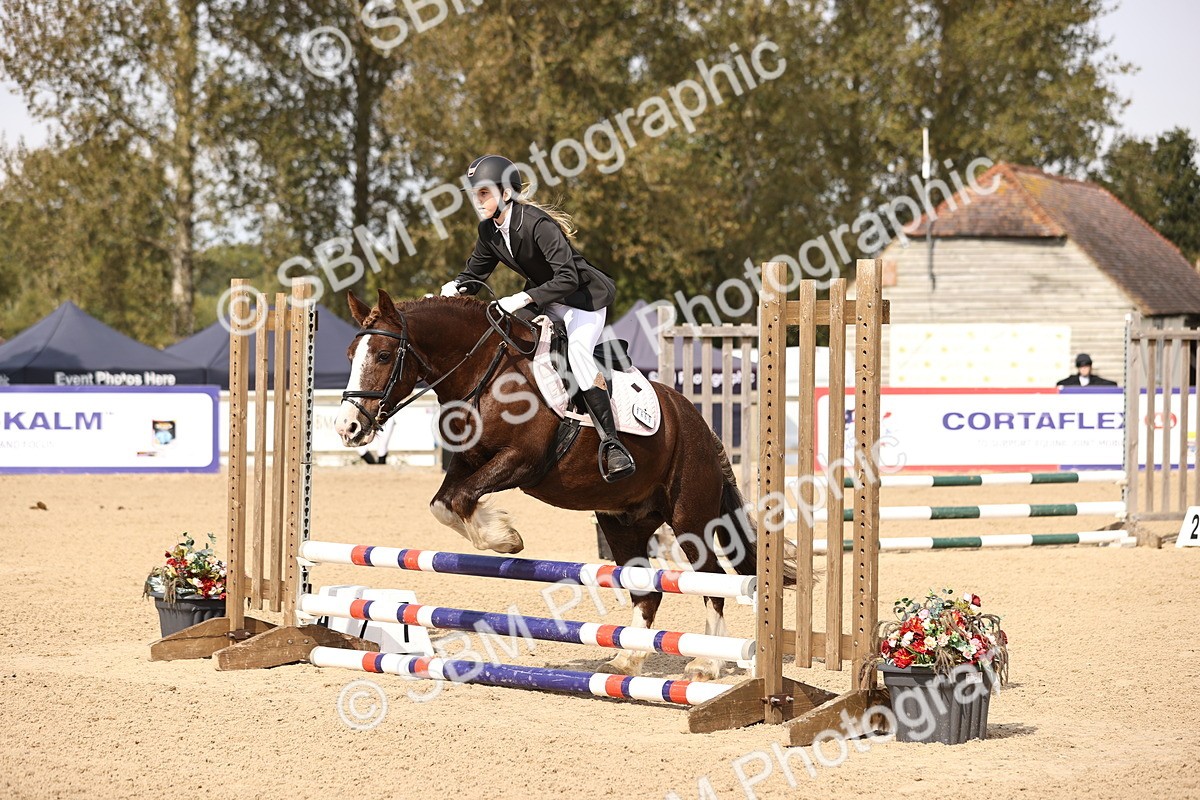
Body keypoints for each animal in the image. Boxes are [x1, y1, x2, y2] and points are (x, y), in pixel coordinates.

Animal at [333, 290, 778, 681]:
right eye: (351, 356)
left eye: (384, 355)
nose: (347, 428)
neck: (484, 370)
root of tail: (699, 423)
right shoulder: (467, 461)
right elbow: (445, 503)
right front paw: (502, 534)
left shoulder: (523, 460)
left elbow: (460, 498)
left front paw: (504, 537)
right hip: (623, 523)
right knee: (647, 591)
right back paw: (627, 661)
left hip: (690, 517)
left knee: (711, 581)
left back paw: (707, 663)